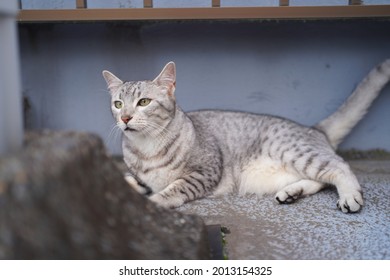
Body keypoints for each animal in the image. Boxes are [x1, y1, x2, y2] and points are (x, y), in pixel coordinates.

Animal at [103, 58, 390, 212]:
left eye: (144, 102)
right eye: (118, 104)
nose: (125, 118)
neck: (146, 147)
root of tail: (313, 129)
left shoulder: (204, 173)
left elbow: (171, 190)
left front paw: (153, 203)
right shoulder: (140, 177)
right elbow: (129, 180)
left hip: (296, 152)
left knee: (339, 167)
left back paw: (350, 196)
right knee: (320, 180)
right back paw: (292, 192)